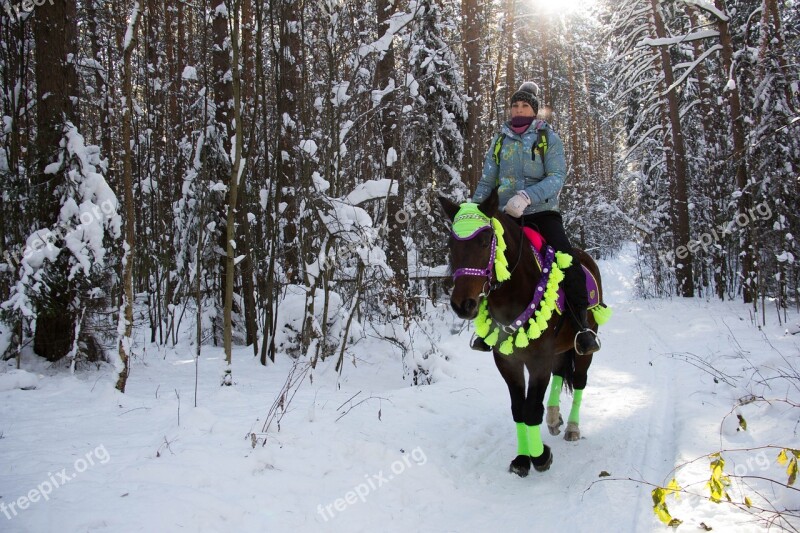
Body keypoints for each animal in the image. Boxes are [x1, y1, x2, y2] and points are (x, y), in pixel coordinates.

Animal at [440, 189, 604, 476]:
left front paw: (540, 457)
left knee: (580, 379)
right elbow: (518, 409)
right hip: (559, 350)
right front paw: (521, 459)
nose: (463, 304)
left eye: (485, 240)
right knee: (560, 372)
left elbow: (531, 409)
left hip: (584, 347)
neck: (513, 294)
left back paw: (572, 427)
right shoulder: (508, 361)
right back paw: (554, 417)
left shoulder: (538, 361)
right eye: (452, 244)